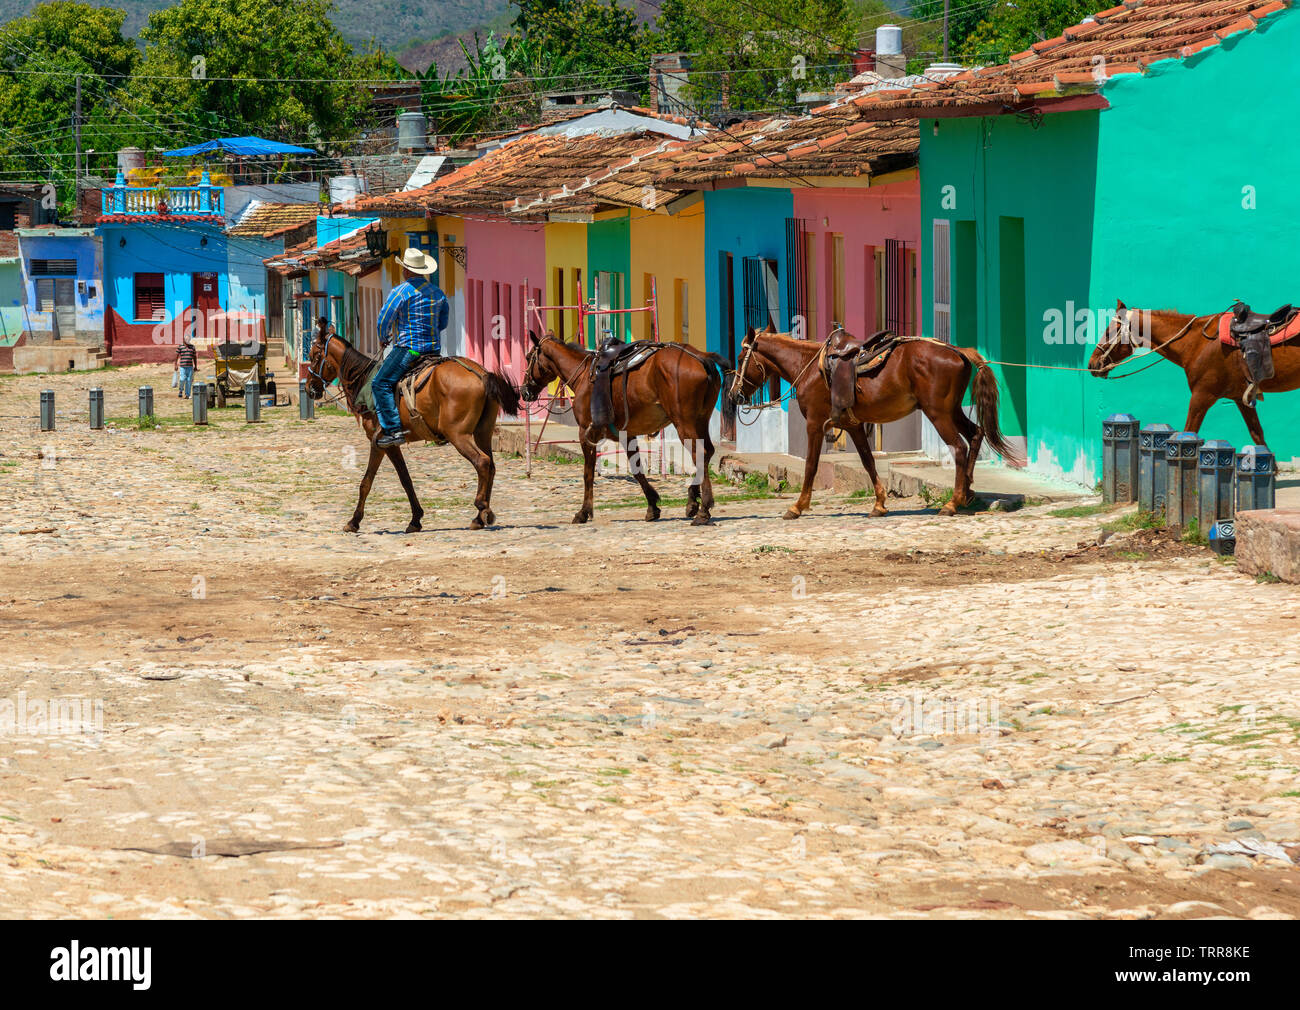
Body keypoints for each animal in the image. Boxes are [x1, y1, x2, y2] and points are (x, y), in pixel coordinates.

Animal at [306, 323, 520, 532]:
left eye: (314, 356)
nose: (308, 388)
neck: (364, 380)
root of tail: (481, 374)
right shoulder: (391, 444)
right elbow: (406, 479)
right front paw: (416, 519)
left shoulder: (379, 442)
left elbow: (367, 481)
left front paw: (354, 521)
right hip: (483, 432)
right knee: (491, 465)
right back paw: (479, 516)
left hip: (458, 434)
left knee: (482, 462)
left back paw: (482, 508)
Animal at [522, 332, 738, 525]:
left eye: (528, 357)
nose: (524, 391)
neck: (583, 374)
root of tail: (701, 356)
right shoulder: (627, 435)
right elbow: (637, 470)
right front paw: (652, 506)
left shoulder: (586, 433)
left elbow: (588, 473)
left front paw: (583, 512)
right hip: (700, 420)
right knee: (707, 452)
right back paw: (694, 500)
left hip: (684, 423)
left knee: (699, 454)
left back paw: (703, 509)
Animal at [728, 327, 1019, 517]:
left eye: (741, 359)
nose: (733, 395)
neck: (808, 368)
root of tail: (958, 351)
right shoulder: (853, 425)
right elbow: (868, 462)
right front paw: (879, 504)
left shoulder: (814, 423)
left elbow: (811, 465)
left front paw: (797, 506)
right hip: (952, 410)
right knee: (975, 434)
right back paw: (967, 492)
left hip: (938, 413)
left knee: (959, 447)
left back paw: (952, 503)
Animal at [1086, 297, 1300, 444]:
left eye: (1108, 332)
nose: (1092, 364)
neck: (1197, 343)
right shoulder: (1240, 397)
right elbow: (1257, 433)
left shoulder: (1201, 395)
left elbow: (1189, 431)